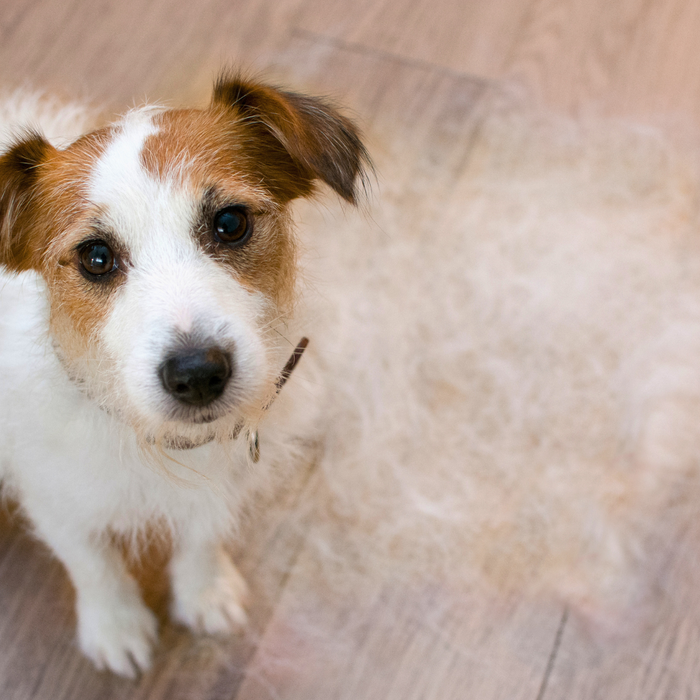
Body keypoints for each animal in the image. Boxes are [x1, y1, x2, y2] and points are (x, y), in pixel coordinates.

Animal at [0, 74, 369, 677]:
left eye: (230, 223)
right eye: (96, 256)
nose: (197, 374)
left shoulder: (223, 481)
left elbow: (201, 536)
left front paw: (205, 591)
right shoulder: (53, 493)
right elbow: (92, 561)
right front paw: (116, 625)